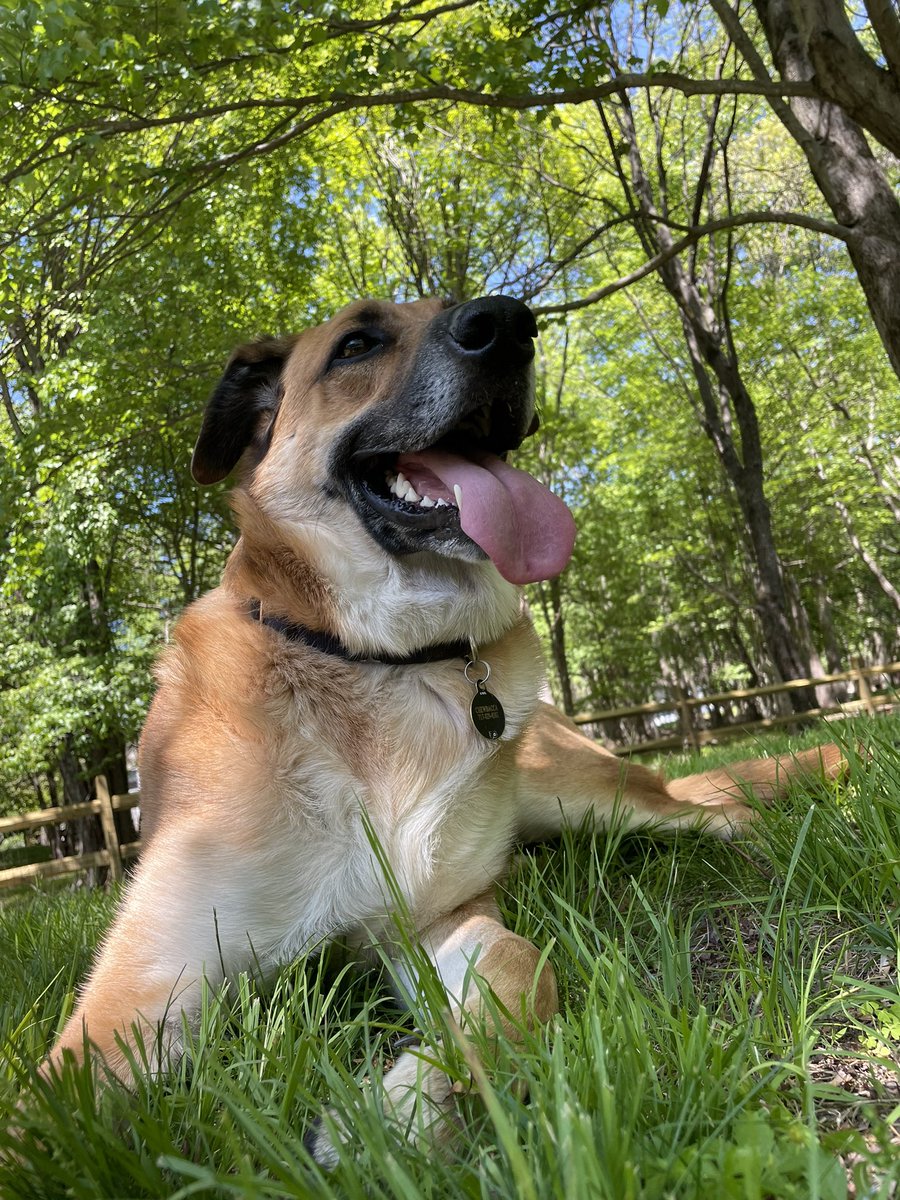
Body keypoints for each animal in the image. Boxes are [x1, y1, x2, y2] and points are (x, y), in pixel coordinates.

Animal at [44, 295, 844, 1166]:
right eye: (355, 344)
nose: (509, 322)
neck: (379, 663)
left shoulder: (438, 920)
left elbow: (523, 964)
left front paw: (411, 1106)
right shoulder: (144, 986)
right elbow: (47, 1120)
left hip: (592, 799)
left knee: (718, 812)